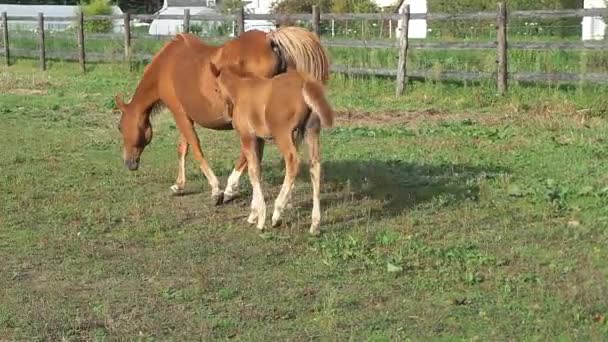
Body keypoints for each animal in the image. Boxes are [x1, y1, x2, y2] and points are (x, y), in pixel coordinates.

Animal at [116, 26, 330, 204]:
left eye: (120, 127)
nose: (129, 163)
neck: (166, 66)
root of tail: (269, 39)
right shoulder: (185, 115)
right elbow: (183, 148)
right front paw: (179, 185)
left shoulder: (180, 114)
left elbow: (195, 147)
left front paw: (215, 190)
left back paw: (230, 189)